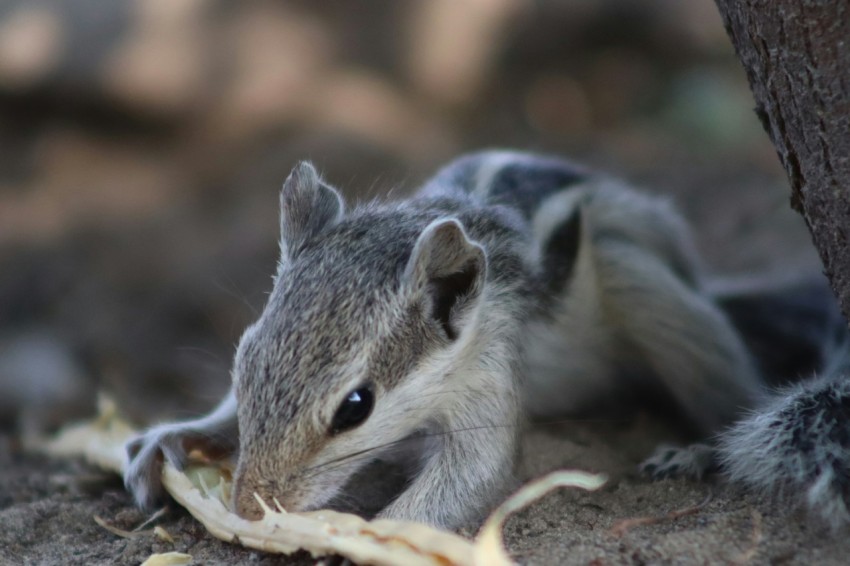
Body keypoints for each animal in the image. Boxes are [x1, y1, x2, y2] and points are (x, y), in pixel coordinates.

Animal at [122, 152, 844, 532]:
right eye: (242, 362)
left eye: (355, 407)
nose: (247, 506)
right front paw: (174, 436)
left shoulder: (490, 374)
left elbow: (474, 472)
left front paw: (362, 539)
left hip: (639, 284)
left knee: (731, 388)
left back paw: (697, 450)